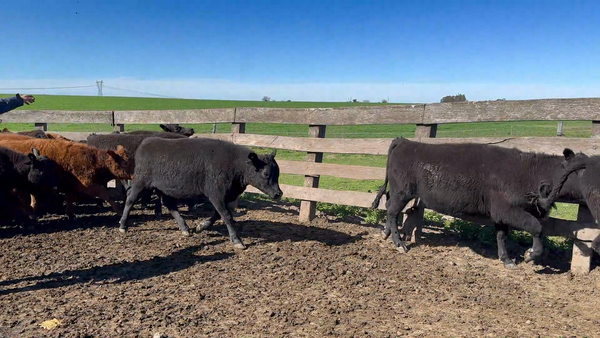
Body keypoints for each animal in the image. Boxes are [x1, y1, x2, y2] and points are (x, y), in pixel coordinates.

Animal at [0, 133, 132, 218]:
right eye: (125, 163)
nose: (135, 174)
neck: (93, 160)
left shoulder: (71, 184)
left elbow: (69, 197)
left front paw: (70, 214)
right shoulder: (88, 185)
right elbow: (106, 195)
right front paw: (120, 211)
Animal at [119, 139, 284, 250]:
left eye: (278, 173)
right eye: (266, 173)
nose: (278, 194)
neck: (234, 165)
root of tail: (146, 142)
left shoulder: (225, 196)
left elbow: (218, 215)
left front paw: (201, 226)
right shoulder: (216, 194)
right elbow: (227, 216)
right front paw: (237, 240)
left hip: (163, 188)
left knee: (170, 205)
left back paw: (185, 228)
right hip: (140, 182)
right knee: (130, 199)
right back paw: (123, 225)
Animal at [370, 138, 600, 270]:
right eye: (581, 170)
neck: (529, 173)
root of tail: (406, 141)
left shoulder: (500, 214)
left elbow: (501, 235)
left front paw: (506, 259)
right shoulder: (507, 209)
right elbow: (536, 227)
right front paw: (530, 255)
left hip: (398, 191)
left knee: (390, 208)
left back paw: (387, 234)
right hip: (403, 191)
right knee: (392, 211)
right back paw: (399, 243)